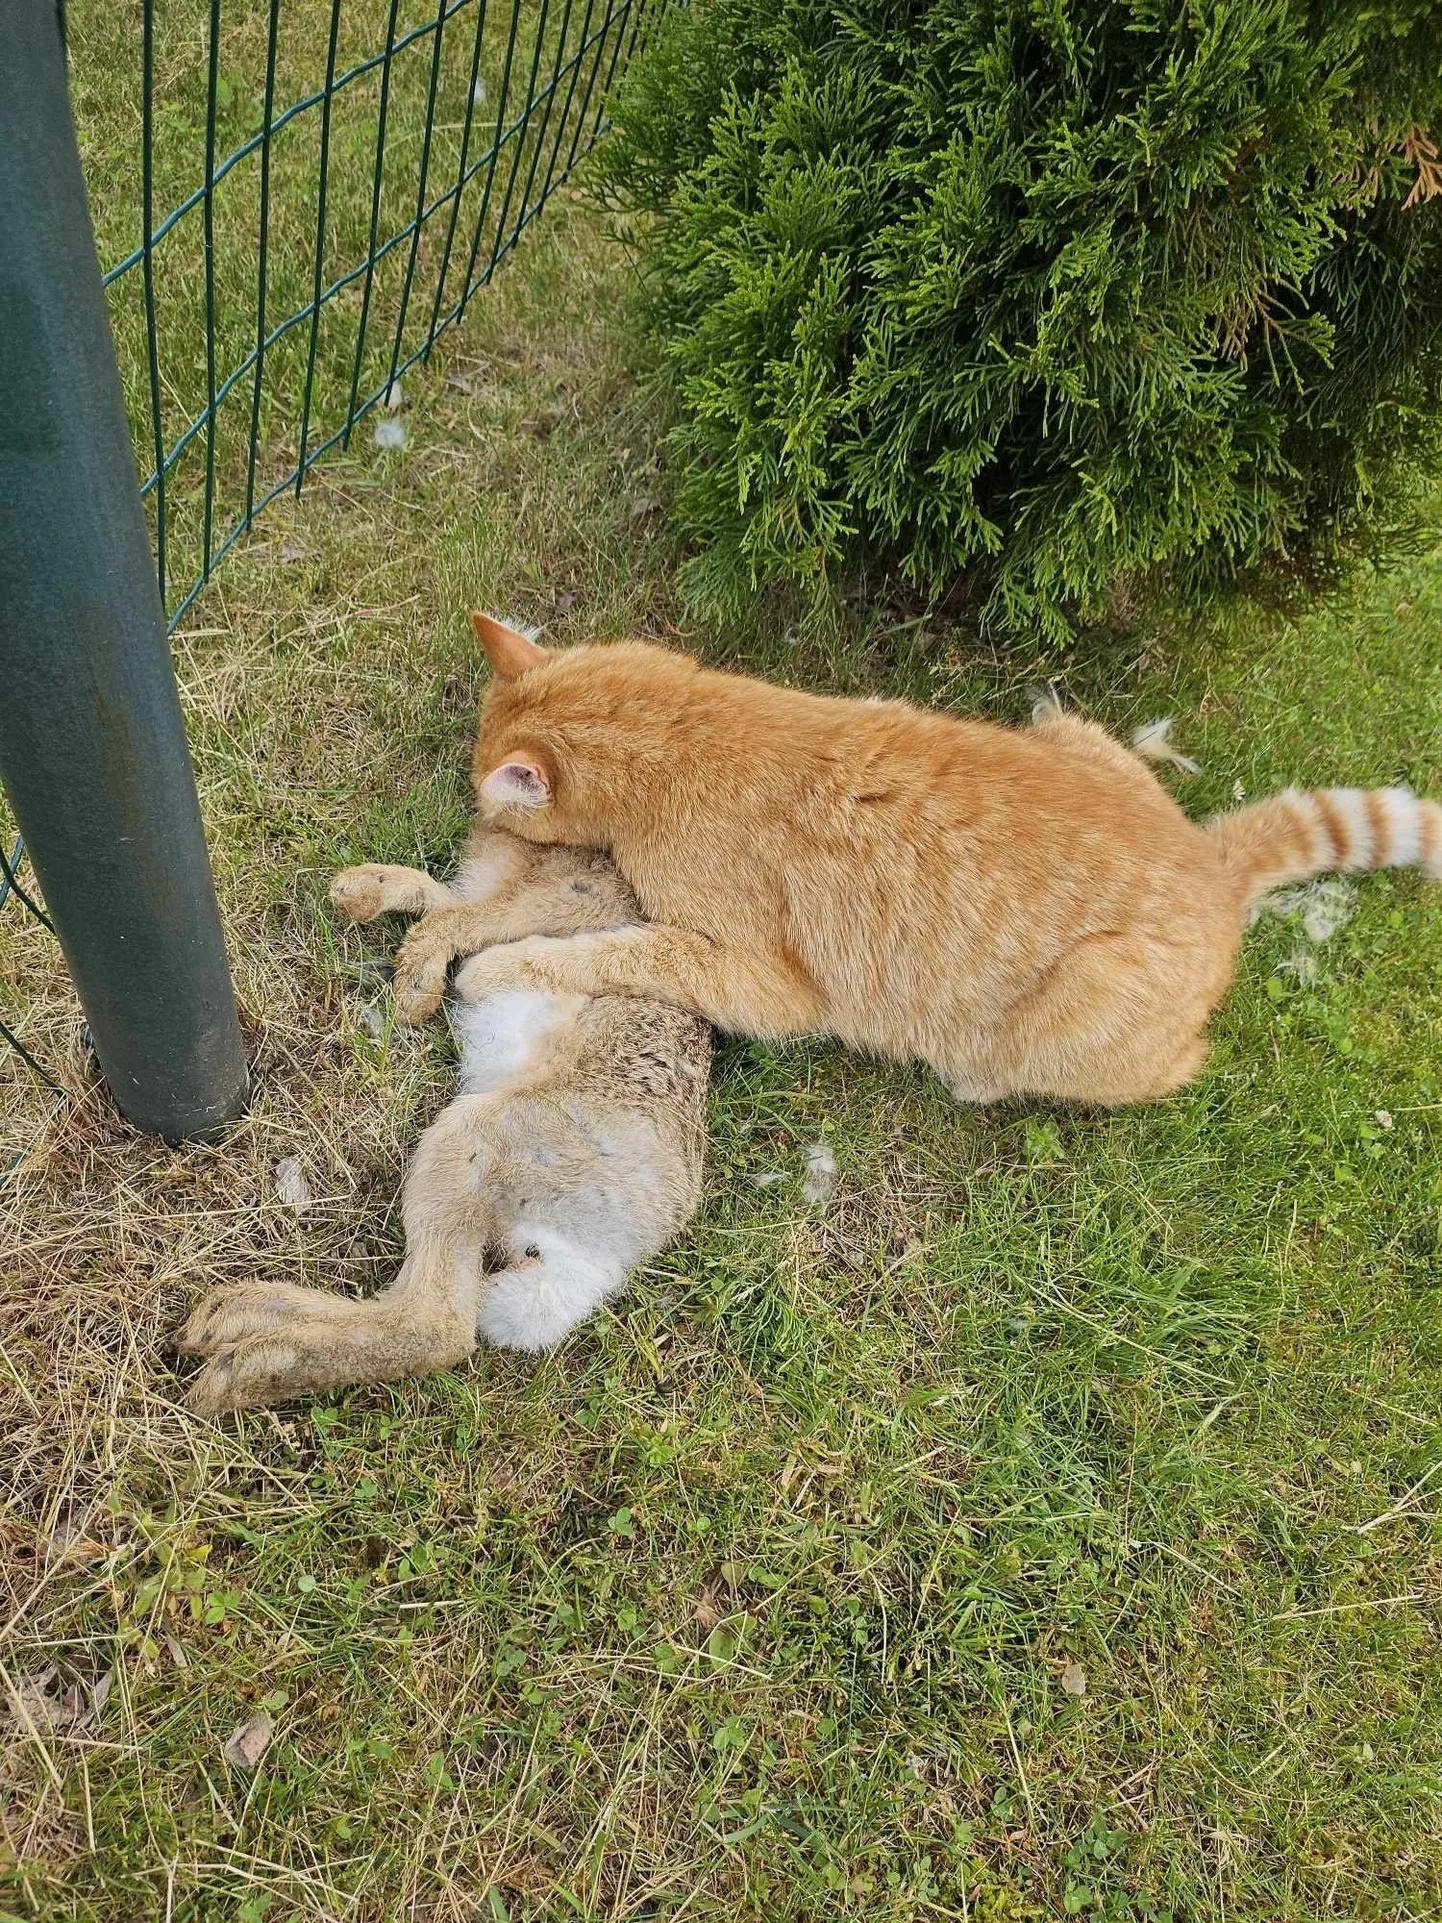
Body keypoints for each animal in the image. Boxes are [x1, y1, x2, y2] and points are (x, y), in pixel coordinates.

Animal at [180, 826, 711, 1415]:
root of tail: (600, 1254)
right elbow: (440, 900)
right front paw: (360, 890)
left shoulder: (570, 897)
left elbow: (459, 916)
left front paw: (411, 982)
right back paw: (235, 1322)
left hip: (471, 1141)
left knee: (435, 1328)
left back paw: (239, 1356)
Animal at [386, 607, 1442, 1107]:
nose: (471, 806)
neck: (686, 726)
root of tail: (1211, 867)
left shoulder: (762, 983)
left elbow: (609, 949)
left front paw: (496, 964)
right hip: (1068, 724)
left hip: (1079, 1014)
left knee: (1169, 1067)